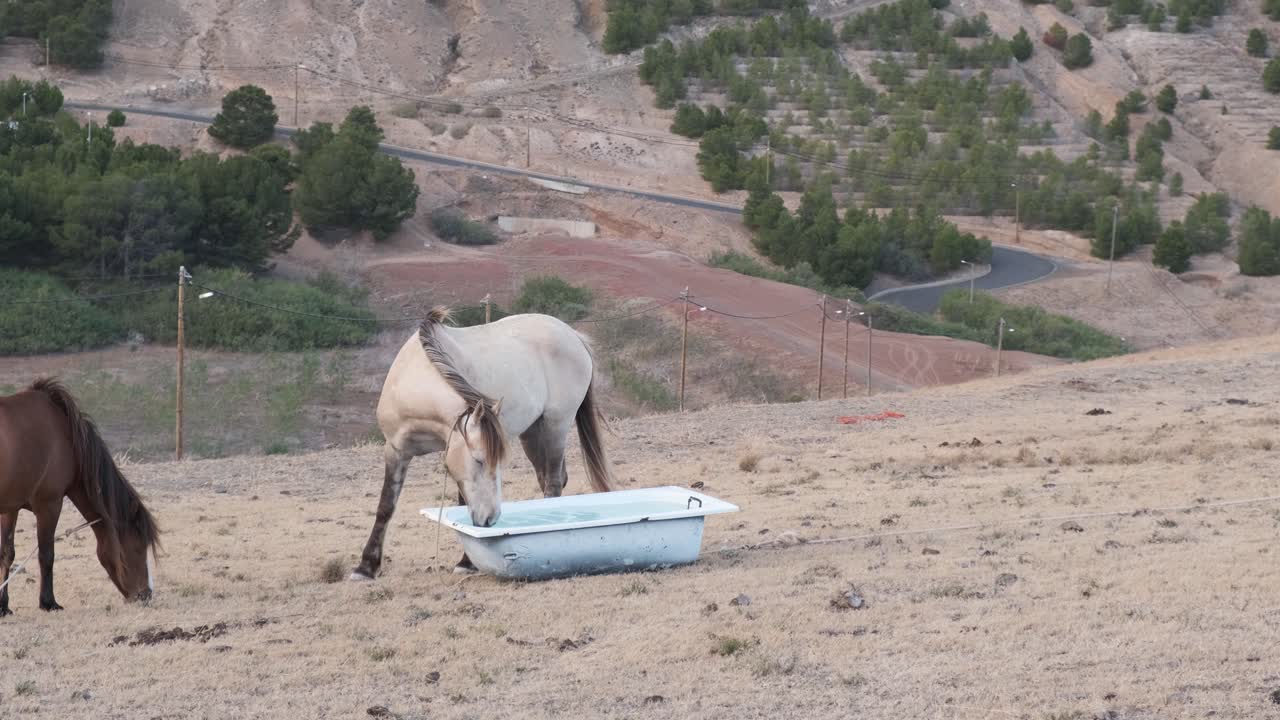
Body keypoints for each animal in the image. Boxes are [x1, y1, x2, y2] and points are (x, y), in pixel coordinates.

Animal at [0, 379, 160, 615]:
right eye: (139, 547)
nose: (146, 595)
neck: (64, 435)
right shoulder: (49, 504)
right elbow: (47, 554)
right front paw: (48, 602)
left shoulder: (11, 507)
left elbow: (6, 553)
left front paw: (3, 605)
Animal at [350, 307, 613, 580]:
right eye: (479, 460)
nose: (491, 518)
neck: (415, 384)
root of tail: (573, 335)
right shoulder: (397, 449)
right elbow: (386, 505)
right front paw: (366, 567)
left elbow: (463, 506)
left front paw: (467, 561)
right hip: (532, 432)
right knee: (550, 479)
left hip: (556, 426)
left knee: (552, 482)